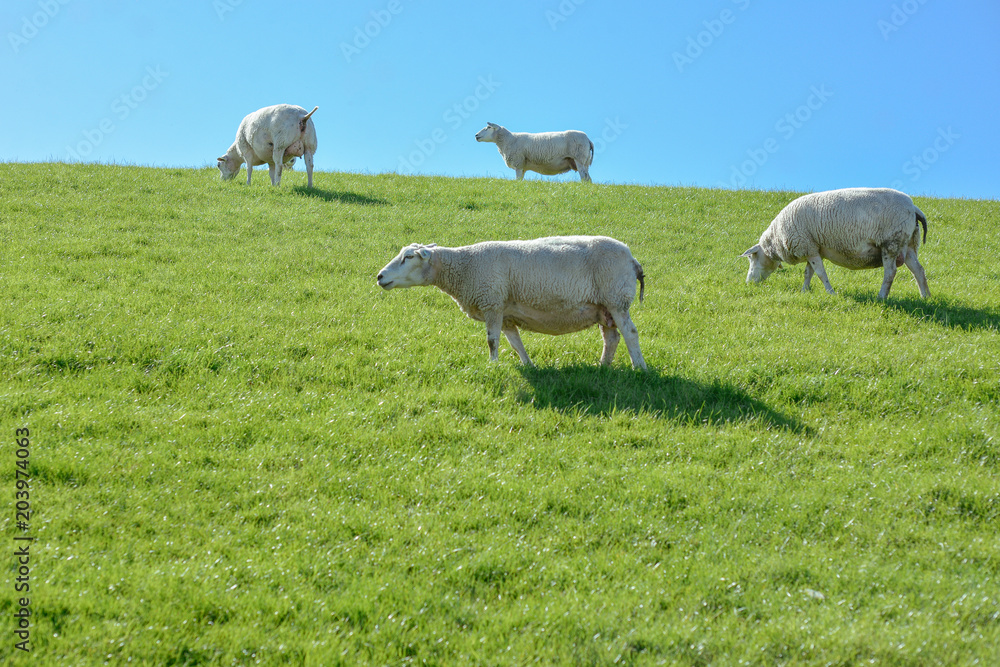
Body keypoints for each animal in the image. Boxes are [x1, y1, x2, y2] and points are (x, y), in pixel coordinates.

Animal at [376, 236, 647, 369]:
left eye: (408, 257)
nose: (380, 276)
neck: (464, 267)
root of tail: (632, 258)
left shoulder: (492, 303)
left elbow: (492, 341)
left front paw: (493, 366)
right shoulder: (504, 312)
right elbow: (515, 344)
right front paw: (529, 366)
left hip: (616, 298)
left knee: (631, 333)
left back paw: (639, 368)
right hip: (603, 307)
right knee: (612, 338)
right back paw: (602, 367)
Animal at [741, 187, 930, 299]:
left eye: (752, 257)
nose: (748, 283)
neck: (776, 240)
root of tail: (914, 207)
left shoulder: (808, 246)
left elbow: (820, 273)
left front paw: (830, 293)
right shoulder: (811, 247)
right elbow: (808, 273)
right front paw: (804, 291)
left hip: (890, 243)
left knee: (890, 273)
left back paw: (881, 297)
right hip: (909, 245)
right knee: (919, 271)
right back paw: (925, 296)